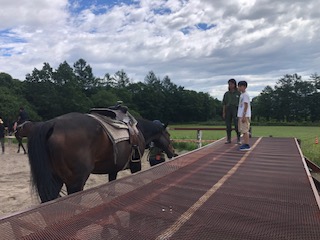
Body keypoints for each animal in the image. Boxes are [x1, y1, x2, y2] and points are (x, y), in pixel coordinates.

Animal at [26, 112, 175, 202]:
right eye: (168, 135)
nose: (173, 153)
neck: (139, 131)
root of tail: (51, 124)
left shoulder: (113, 170)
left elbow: (111, 188)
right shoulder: (136, 166)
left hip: (55, 180)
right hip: (75, 183)